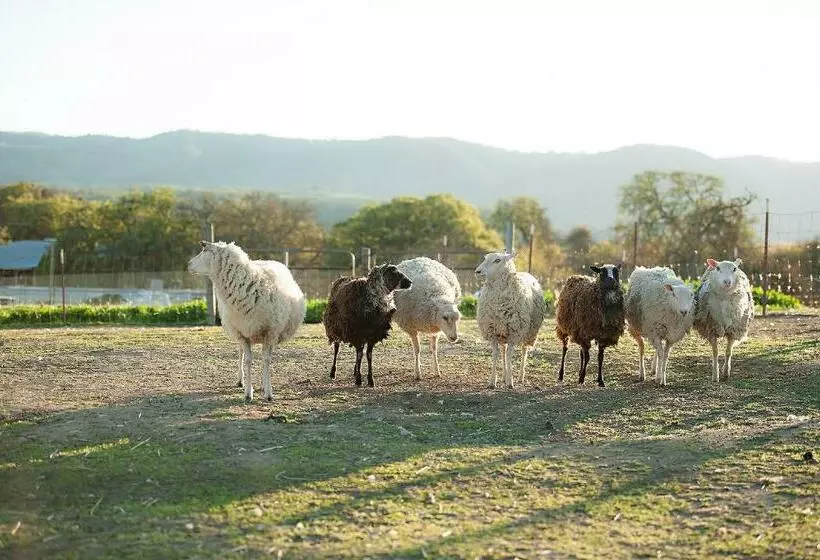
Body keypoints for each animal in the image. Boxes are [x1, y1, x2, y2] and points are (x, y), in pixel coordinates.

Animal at [187, 241, 306, 402]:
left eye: (204, 251)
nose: (188, 264)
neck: (247, 284)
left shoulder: (271, 331)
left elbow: (266, 360)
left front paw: (268, 392)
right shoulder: (242, 333)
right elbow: (248, 360)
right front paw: (248, 393)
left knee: (265, 356)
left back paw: (263, 384)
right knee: (240, 353)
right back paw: (240, 381)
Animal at [474, 251, 546, 389]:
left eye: (497, 260)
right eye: (485, 258)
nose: (477, 271)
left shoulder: (514, 332)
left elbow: (509, 355)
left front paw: (510, 381)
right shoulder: (493, 331)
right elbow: (496, 354)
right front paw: (492, 381)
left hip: (528, 332)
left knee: (524, 351)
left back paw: (520, 377)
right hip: (502, 332)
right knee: (503, 350)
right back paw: (503, 375)